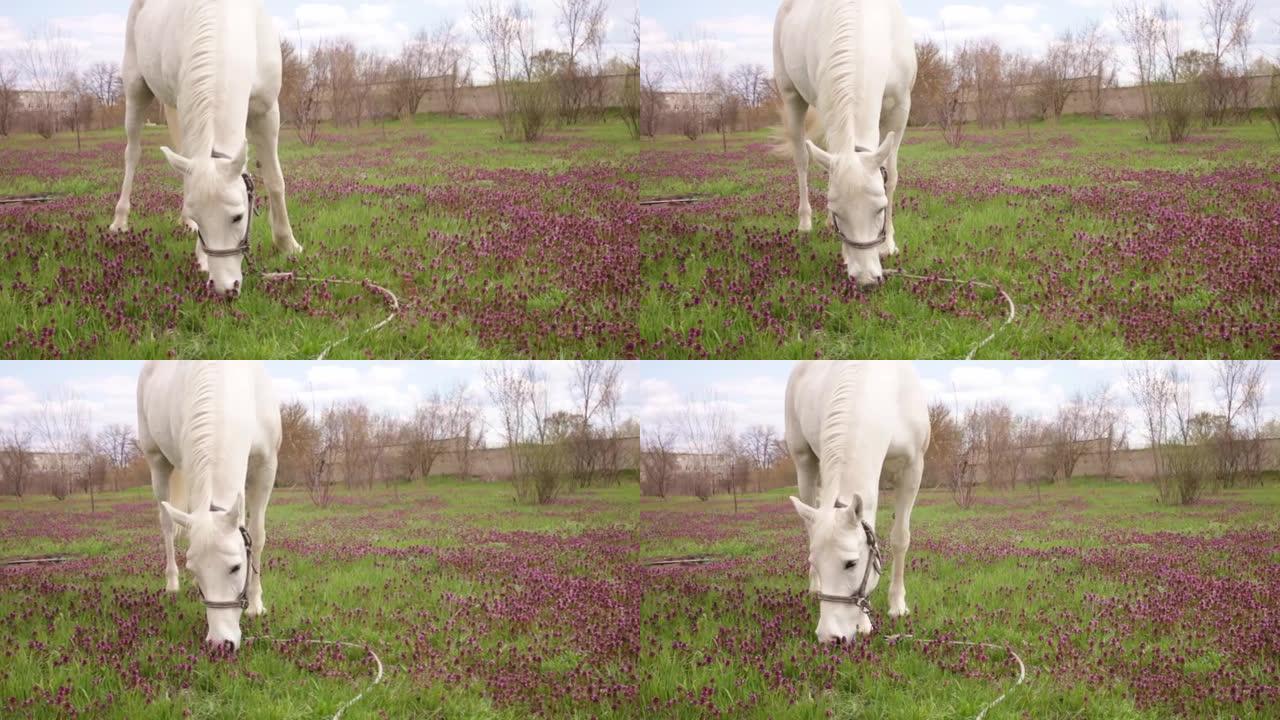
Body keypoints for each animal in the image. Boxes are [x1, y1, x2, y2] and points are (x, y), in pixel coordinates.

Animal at [109, 0, 299, 297]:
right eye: (201, 218)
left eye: (238, 217)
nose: (224, 288)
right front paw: (201, 254)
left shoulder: (267, 112)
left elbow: (275, 181)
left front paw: (287, 244)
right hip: (136, 88)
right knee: (132, 153)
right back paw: (120, 221)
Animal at [137, 361, 282, 648]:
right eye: (196, 570)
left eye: (236, 567)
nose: (220, 644)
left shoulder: (267, 466)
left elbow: (257, 535)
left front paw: (256, 605)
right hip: (157, 461)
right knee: (166, 524)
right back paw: (172, 584)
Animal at [773, 0, 916, 285]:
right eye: (840, 213)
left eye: (881, 209)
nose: (865, 279)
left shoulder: (900, 109)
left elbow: (891, 175)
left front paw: (888, 245)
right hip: (792, 96)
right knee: (803, 161)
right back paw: (805, 223)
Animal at [778, 358, 931, 638]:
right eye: (815, 562)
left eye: (851, 563)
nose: (829, 636)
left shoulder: (913, 467)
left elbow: (900, 538)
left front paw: (897, 606)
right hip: (803, 459)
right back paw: (814, 588)